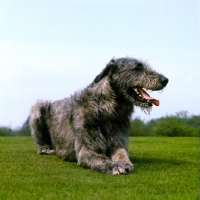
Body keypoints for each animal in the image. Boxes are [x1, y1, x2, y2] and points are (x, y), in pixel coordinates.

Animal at [28, 57, 168, 175]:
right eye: (137, 68)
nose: (165, 80)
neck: (105, 110)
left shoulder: (118, 144)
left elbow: (122, 153)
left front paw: (124, 163)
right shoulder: (87, 151)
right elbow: (100, 158)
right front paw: (114, 166)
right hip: (38, 106)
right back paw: (46, 149)